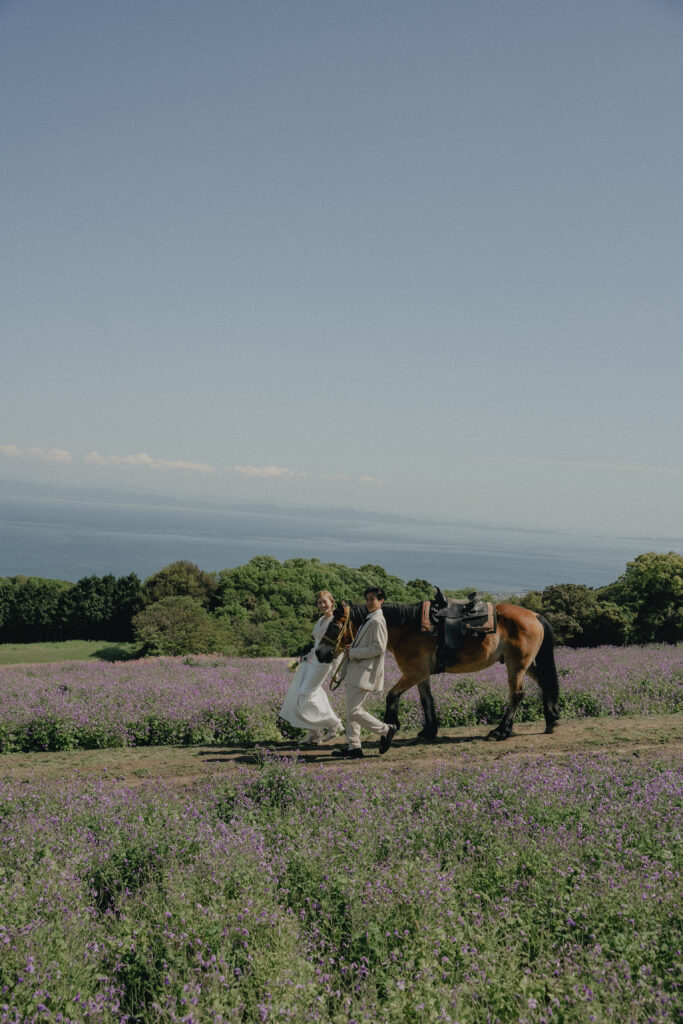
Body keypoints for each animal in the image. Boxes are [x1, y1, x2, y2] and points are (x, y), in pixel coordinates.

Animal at [316, 597, 560, 743]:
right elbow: (427, 700)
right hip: (525, 665)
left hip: (516, 666)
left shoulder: (413, 673)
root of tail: (534, 615)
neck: (408, 627)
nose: (319, 653)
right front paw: (429, 731)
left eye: (335, 625)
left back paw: (501, 731)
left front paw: (391, 725)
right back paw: (551, 720)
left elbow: (392, 696)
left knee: (516, 695)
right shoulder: (421, 674)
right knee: (545, 682)